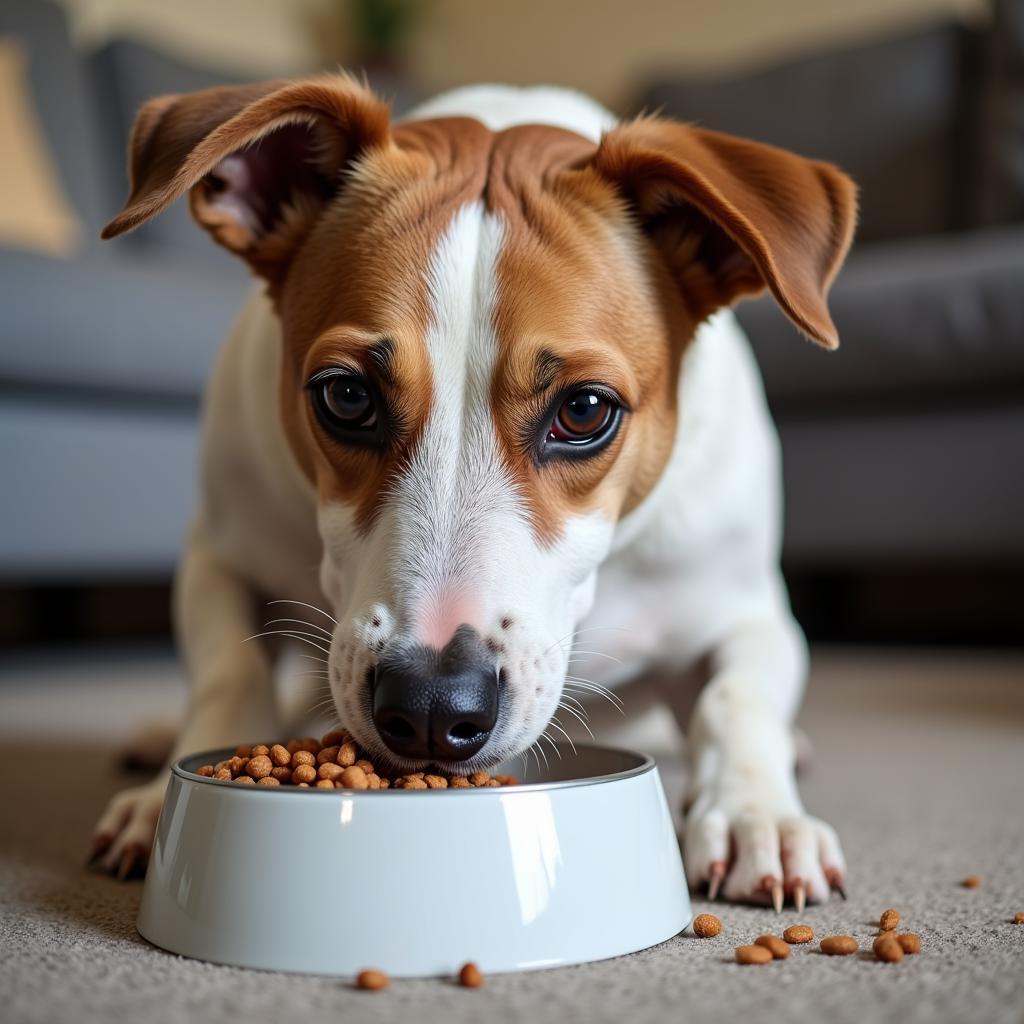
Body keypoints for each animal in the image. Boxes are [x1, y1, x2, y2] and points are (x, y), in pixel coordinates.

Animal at [90, 75, 856, 905]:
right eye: (345, 396)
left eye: (585, 410)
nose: (430, 709)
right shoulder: (220, 552)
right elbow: (230, 672)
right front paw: (162, 798)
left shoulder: (746, 610)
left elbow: (733, 700)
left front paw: (756, 814)